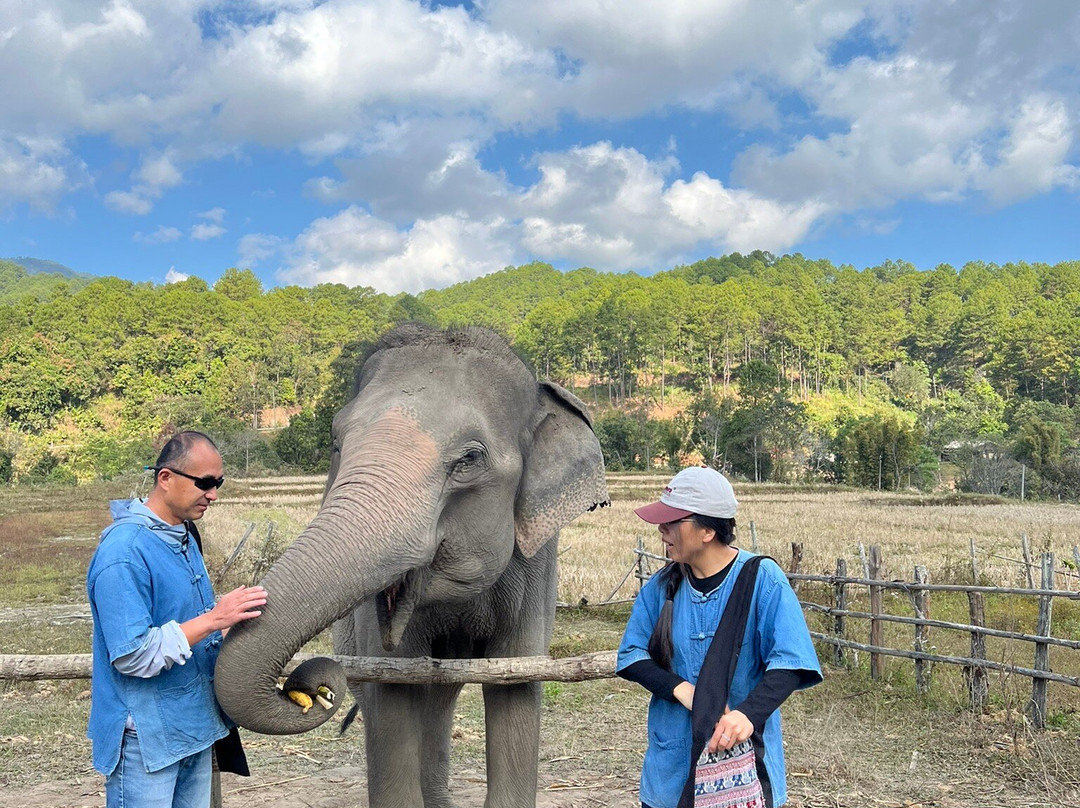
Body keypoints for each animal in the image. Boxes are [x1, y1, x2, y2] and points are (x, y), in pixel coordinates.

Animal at [214, 324, 609, 808]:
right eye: (336, 443)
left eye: (470, 458)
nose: (309, 688)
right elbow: (392, 688)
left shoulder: (537, 565)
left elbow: (514, 685)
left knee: (440, 695)